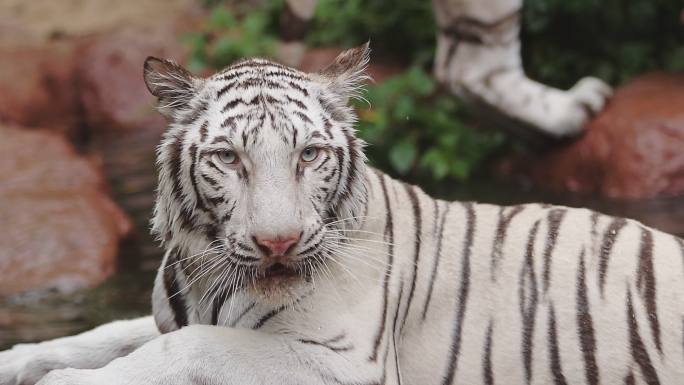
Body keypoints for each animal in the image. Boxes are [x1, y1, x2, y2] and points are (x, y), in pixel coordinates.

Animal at [1, 43, 684, 382]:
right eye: (228, 157)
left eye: (309, 154)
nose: (278, 244)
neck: (204, 279)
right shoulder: (167, 315)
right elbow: (105, 334)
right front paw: (18, 362)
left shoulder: (340, 361)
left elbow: (195, 348)